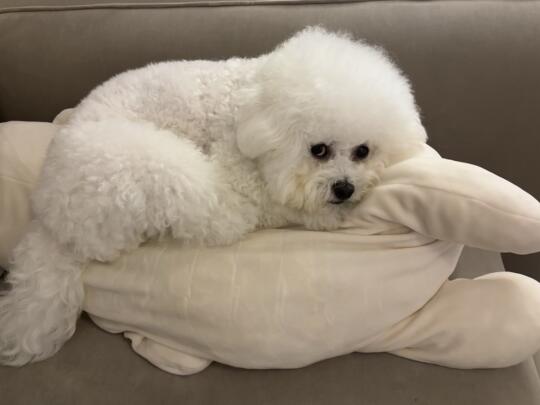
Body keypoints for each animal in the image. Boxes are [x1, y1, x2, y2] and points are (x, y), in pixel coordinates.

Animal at [0, 27, 426, 365]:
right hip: (155, 168)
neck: (255, 105)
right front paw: (321, 214)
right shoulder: (240, 176)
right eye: (318, 150)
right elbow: (276, 201)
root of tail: (49, 219)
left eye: (363, 151)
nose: (345, 188)